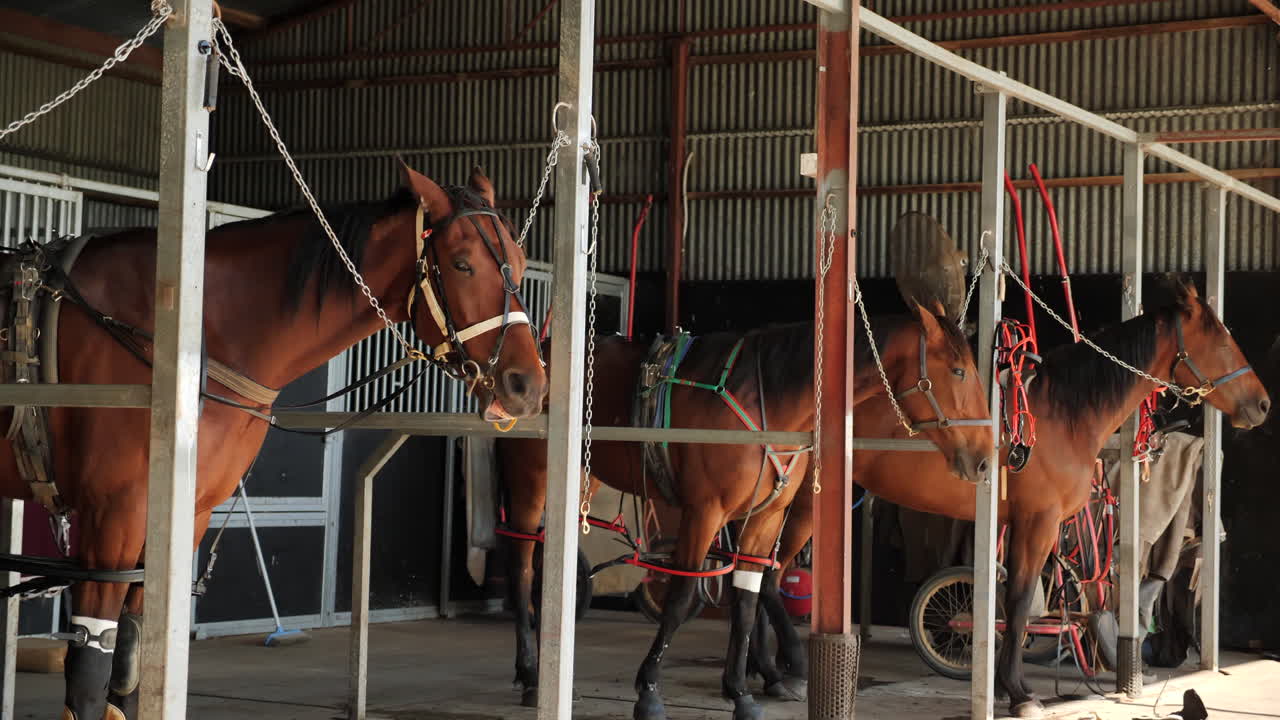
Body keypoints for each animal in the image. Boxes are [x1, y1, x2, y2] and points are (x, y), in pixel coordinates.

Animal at [0, 164, 547, 720]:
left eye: (521, 263)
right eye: (462, 264)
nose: (528, 386)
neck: (187, 334)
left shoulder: (180, 519)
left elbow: (130, 664)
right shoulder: (110, 521)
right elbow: (90, 677)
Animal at [495, 303, 993, 720]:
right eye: (959, 370)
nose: (986, 458)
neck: (770, 400)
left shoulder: (764, 518)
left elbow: (749, 596)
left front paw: (740, 692)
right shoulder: (705, 511)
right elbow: (682, 597)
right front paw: (649, 691)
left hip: (583, 472)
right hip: (530, 479)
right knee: (521, 567)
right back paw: (530, 673)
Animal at [741, 277, 1269, 718]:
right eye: (1223, 341)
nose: (1262, 404)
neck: (1064, 415)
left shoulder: (1020, 523)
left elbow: (1012, 601)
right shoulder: (1039, 521)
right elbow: (1016, 604)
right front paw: (1017, 693)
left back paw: (766, 674)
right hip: (803, 504)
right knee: (770, 579)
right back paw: (782, 670)